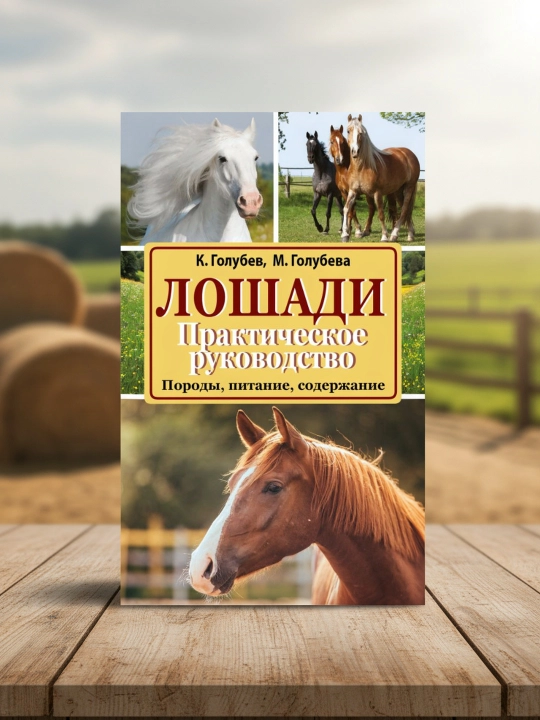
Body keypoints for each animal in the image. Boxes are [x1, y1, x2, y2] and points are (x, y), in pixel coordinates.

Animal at [342, 114, 420, 243]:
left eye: (361, 133)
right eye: (348, 131)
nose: (355, 151)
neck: (362, 167)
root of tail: (409, 154)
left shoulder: (377, 193)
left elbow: (380, 214)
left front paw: (384, 236)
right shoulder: (353, 191)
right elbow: (347, 209)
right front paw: (344, 234)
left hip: (409, 187)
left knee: (404, 210)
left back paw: (394, 235)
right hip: (398, 191)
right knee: (406, 211)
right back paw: (410, 235)